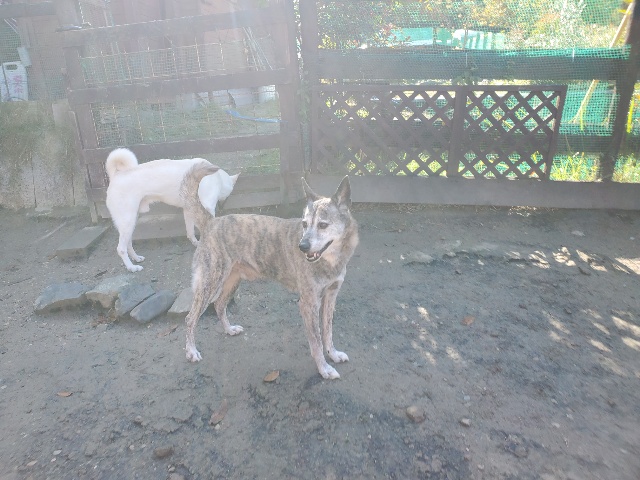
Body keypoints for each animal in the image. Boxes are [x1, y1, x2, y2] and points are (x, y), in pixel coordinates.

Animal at [104, 148, 238, 272]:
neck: (218, 178)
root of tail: (115, 175)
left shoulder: (188, 210)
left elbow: (190, 232)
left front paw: (197, 243)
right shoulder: (207, 207)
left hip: (131, 221)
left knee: (128, 244)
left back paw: (136, 258)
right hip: (127, 221)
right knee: (121, 248)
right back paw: (132, 267)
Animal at [180, 163, 359, 379]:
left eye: (323, 225)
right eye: (304, 223)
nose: (302, 247)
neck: (331, 259)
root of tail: (211, 222)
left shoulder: (331, 296)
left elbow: (327, 331)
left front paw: (333, 354)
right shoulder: (308, 303)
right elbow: (316, 341)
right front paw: (324, 368)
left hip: (232, 281)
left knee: (219, 305)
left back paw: (229, 330)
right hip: (210, 282)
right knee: (191, 318)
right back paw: (191, 351)